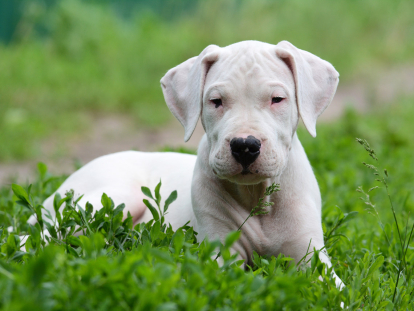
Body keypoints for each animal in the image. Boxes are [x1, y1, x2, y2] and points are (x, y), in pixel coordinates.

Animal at [38, 40, 344, 288]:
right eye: (216, 101)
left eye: (277, 99)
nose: (245, 146)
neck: (256, 195)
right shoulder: (221, 252)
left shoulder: (310, 257)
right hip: (115, 196)